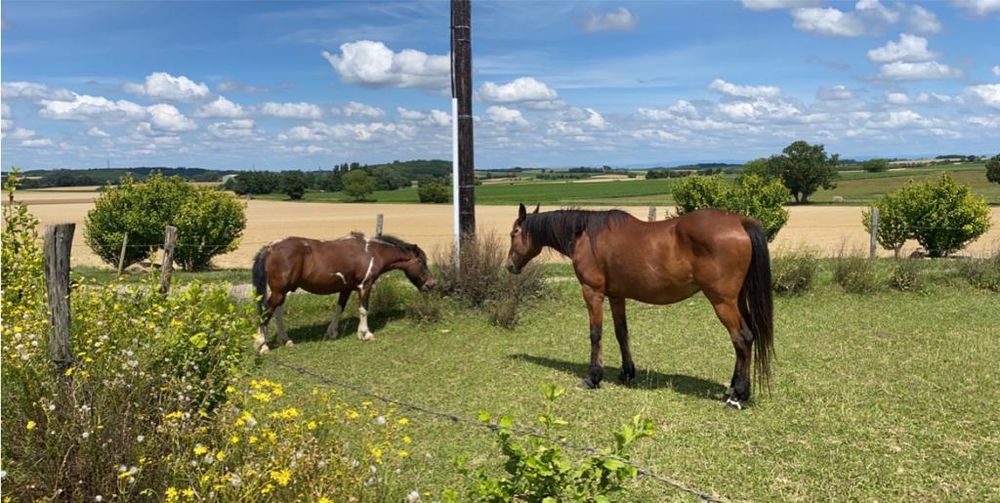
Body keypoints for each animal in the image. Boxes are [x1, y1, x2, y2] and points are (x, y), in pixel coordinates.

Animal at [251, 232, 434, 353]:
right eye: (421, 262)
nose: (431, 284)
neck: (372, 252)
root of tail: (270, 248)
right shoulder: (365, 286)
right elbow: (363, 309)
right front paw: (365, 334)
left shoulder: (346, 288)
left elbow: (339, 309)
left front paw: (332, 332)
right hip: (279, 292)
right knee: (266, 312)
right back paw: (263, 345)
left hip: (282, 291)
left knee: (277, 312)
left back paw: (286, 340)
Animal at [505, 204, 773, 410]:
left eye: (514, 233)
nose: (509, 266)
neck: (586, 236)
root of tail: (740, 222)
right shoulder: (616, 296)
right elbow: (621, 333)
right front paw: (627, 373)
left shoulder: (592, 292)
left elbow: (596, 334)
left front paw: (593, 377)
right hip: (738, 299)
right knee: (748, 338)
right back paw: (735, 389)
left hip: (722, 301)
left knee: (741, 338)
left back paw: (736, 396)